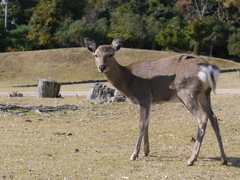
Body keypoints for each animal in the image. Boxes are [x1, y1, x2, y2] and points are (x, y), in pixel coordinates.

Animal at [84, 35, 227, 166]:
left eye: (111, 54)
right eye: (96, 55)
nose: (102, 67)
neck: (129, 80)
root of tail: (208, 68)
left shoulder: (144, 96)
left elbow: (141, 124)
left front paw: (134, 155)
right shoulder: (149, 101)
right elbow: (147, 123)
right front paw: (146, 152)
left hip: (186, 91)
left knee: (202, 116)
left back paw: (191, 160)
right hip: (204, 94)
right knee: (214, 118)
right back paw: (223, 159)